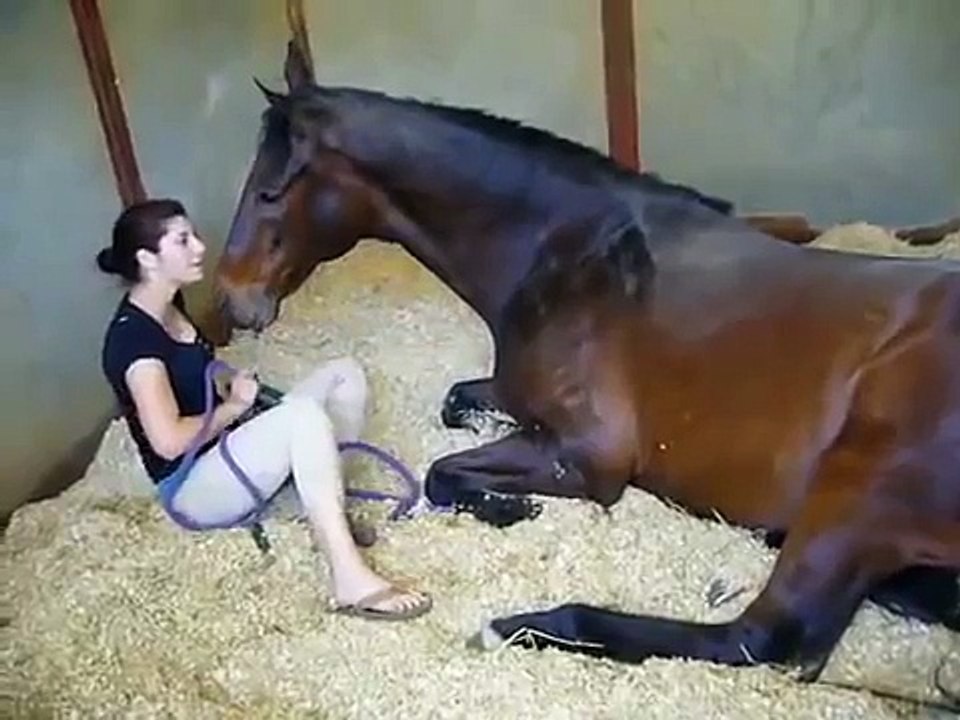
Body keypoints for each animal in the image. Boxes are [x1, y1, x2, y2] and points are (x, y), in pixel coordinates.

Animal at [215, 41, 960, 683]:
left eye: (271, 191)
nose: (230, 297)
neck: (575, 251)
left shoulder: (588, 453)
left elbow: (441, 472)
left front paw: (507, 508)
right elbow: (455, 407)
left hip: (855, 488)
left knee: (764, 635)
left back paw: (528, 624)